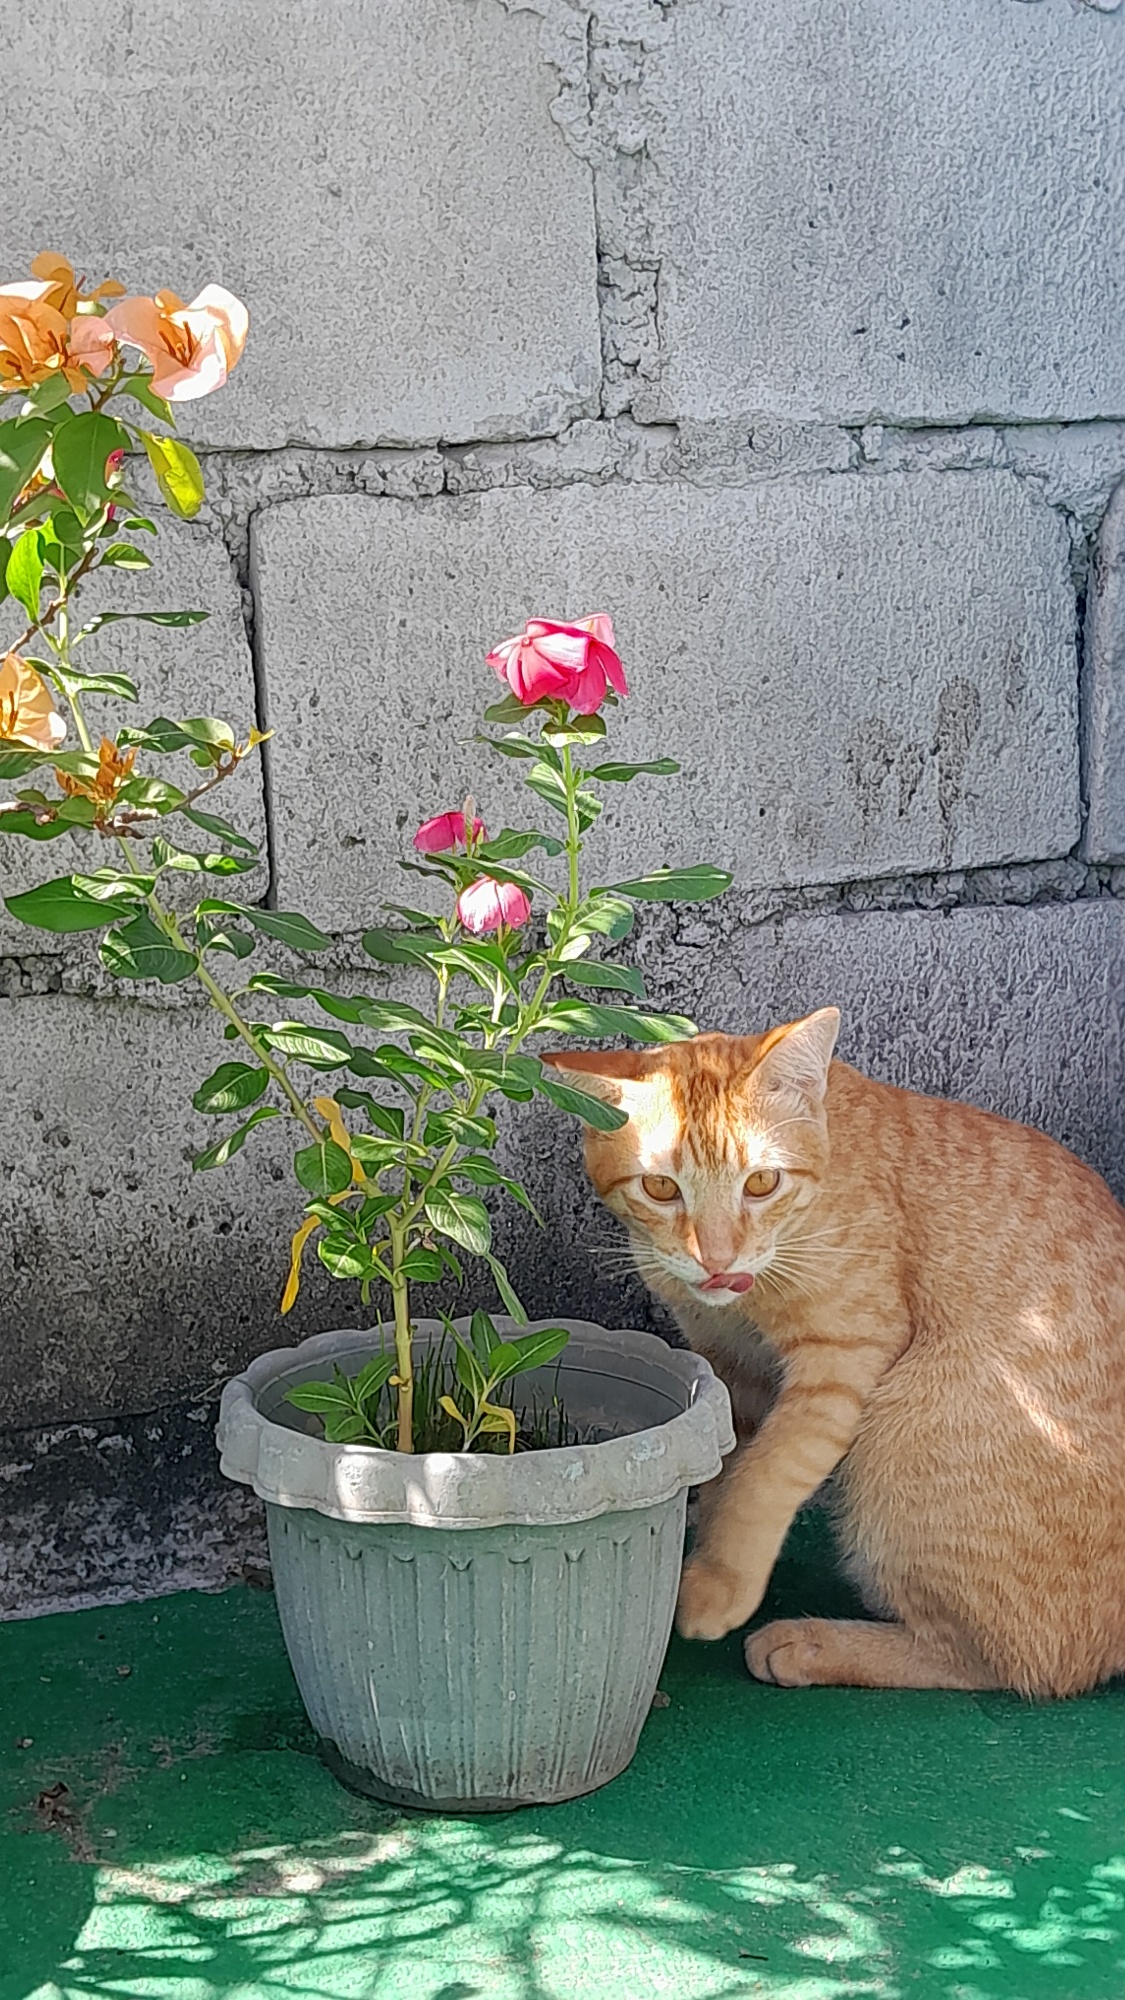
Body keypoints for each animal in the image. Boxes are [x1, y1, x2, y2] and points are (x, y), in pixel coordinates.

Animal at [542, 1009, 1125, 1697]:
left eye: (762, 1182)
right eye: (660, 1187)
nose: (716, 1260)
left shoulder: (847, 1353)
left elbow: (767, 1473)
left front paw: (721, 1583)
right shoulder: (735, 1371)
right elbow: (730, 1465)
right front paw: (704, 1535)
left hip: (916, 1420)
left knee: (1015, 1662)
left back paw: (814, 1644)